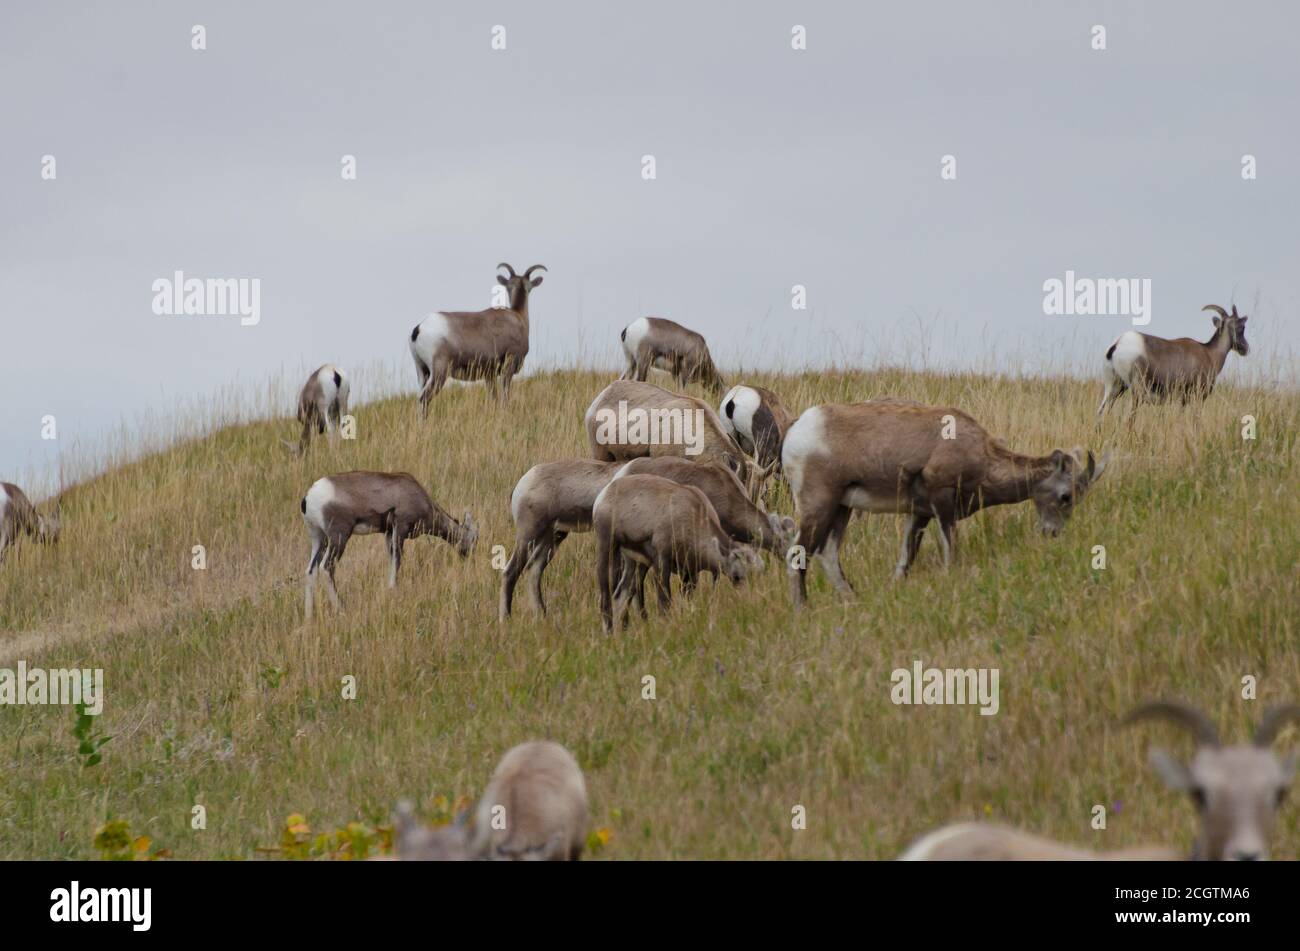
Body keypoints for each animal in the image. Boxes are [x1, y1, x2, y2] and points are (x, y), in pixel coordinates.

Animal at [299, 470, 478, 621]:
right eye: (472, 542)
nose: (469, 562)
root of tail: (309, 496)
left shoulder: (388, 534)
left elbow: (391, 562)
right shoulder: (400, 530)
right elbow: (396, 563)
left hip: (319, 539)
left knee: (311, 571)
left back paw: (308, 618)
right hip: (339, 538)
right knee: (326, 568)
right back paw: (342, 610)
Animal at [496, 459, 624, 623]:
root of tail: (523, 482)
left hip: (552, 540)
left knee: (533, 571)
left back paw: (542, 616)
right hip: (528, 538)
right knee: (510, 572)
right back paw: (506, 619)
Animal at [780, 397, 1107, 605]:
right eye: (1065, 496)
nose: (1053, 533)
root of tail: (798, 429)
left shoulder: (920, 515)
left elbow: (905, 561)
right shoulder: (943, 504)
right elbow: (952, 552)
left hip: (841, 510)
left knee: (827, 554)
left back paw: (852, 600)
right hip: (819, 507)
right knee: (797, 553)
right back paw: (803, 609)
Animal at [1097, 302, 1248, 418]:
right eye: (1241, 327)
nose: (1245, 348)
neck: (1209, 352)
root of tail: (1117, 344)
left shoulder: (1184, 400)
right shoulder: (1198, 396)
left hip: (1115, 387)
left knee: (1101, 411)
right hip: (1136, 392)